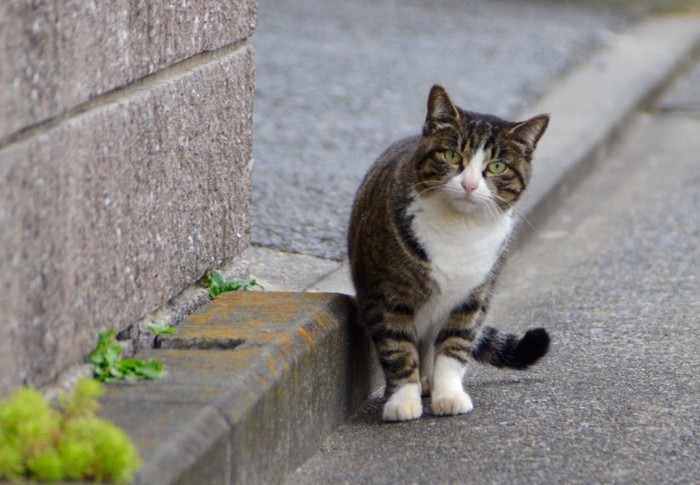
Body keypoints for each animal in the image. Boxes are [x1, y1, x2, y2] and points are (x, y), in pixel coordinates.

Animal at [348, 83, 548, 420]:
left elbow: (454, 347)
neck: (460, 229)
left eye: (496, 166)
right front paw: (402, 400)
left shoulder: (474, 298)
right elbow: (397, 347)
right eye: (452, 155)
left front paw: (449, 395)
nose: (469, 185)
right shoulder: (386, 295)